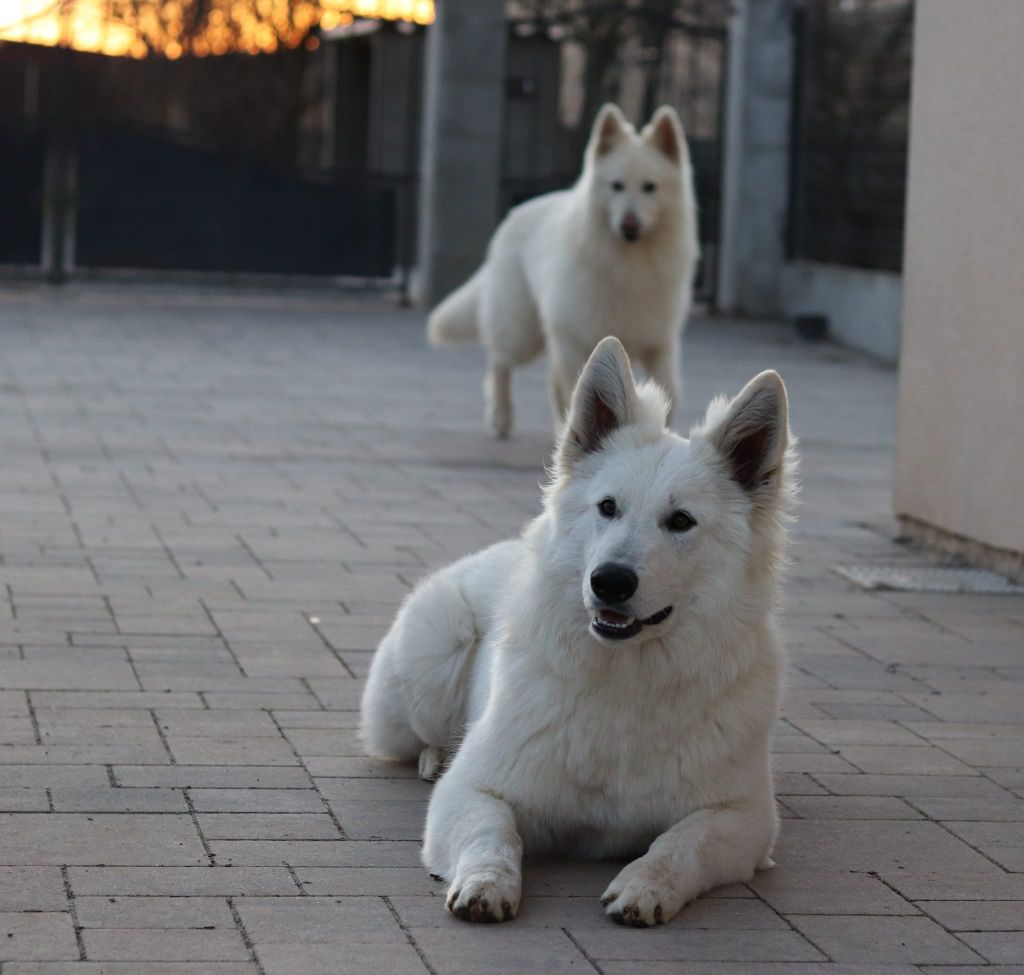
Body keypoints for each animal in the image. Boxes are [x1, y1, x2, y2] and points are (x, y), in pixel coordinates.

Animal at [362, 337, 798, 925]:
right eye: (608, 507)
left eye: (680, 521)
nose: (609, 581)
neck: (625, 682)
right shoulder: (474, 788)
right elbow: (491, 834)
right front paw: (485, 883)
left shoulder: (743, 817)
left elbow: (681, 843)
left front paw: (645, 886)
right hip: (437, 647)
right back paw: (436, 754)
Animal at [421, 104, 696, 436]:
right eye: (616, 186)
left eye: (649, 188)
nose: (629, 226)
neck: (627, 263)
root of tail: (515, 212)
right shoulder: (573, 340)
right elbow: (573, 391)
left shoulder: (659, 341)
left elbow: (671, 392)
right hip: (521, 333)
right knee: (499, 361)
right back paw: (500, 416)